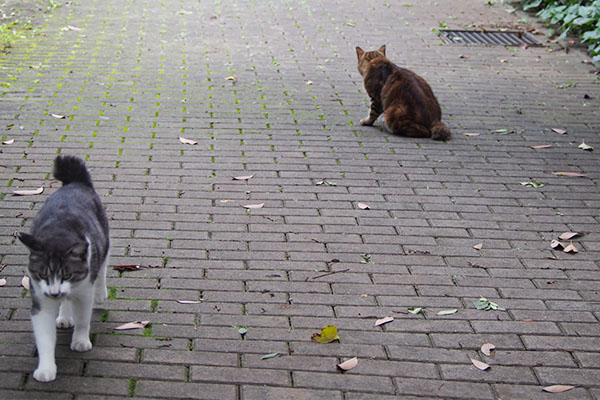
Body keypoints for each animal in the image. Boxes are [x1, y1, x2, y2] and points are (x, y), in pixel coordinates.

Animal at [18, 155, 110, 382]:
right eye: (42, 274)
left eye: (68, 273)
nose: (54, 292)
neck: (58, 232)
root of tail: (75, 182)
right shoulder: (40, 298)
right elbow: (44, 337)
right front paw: (46, 368)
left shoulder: (84, 289)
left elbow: (84, 319)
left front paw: (80, 341)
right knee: (67, 301)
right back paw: (65, 316)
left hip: (104, 240)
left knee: (103, 267)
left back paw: (100, 293)